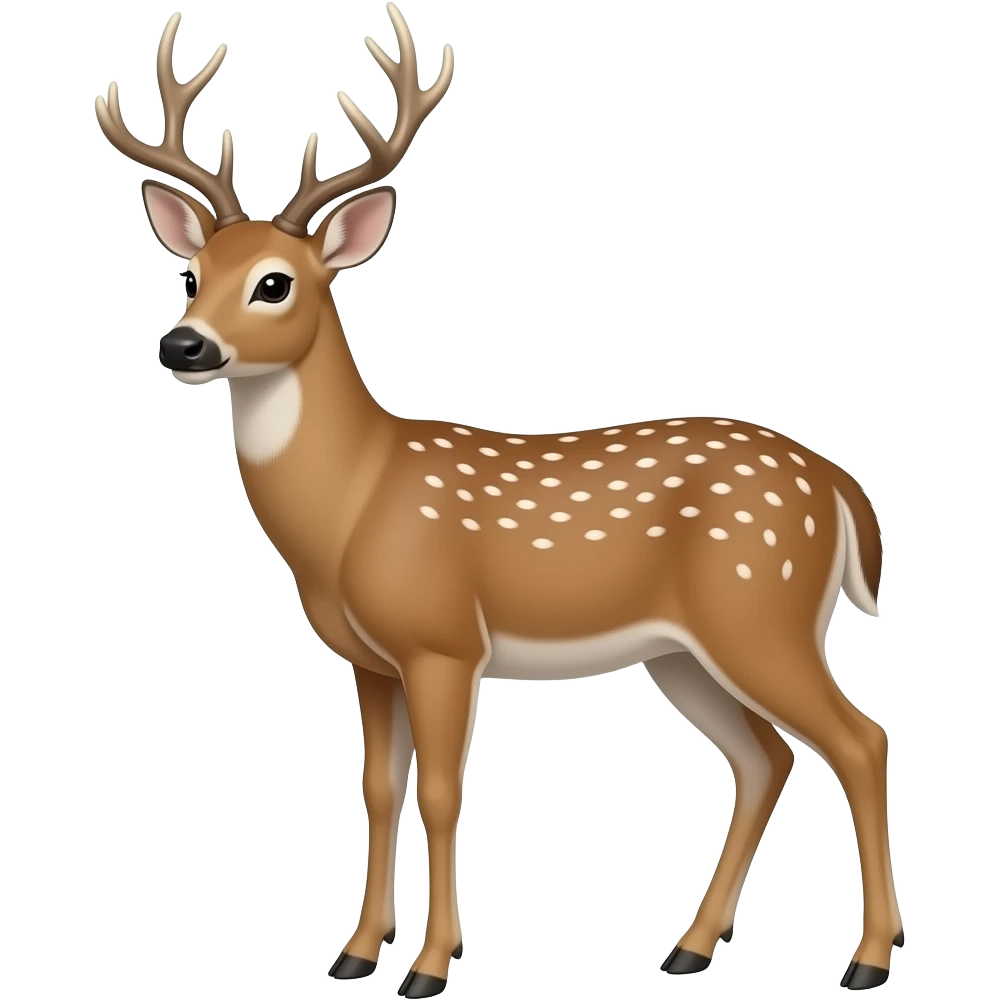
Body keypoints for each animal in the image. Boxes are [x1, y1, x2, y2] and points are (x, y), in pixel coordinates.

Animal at [93, 6, 899, 995]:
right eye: (193, 275)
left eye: (274, 282)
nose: (184, 345)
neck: (354, 506)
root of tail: (839, 485)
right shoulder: (370, 661)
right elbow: (376, 790)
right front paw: (354, 955)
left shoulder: (443, 640)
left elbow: (442, 794)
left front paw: (431, 966)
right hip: (682, 650)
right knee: (766, 756)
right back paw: (689, 948)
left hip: (761, 608)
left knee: (859, 740)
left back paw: (866, 960)